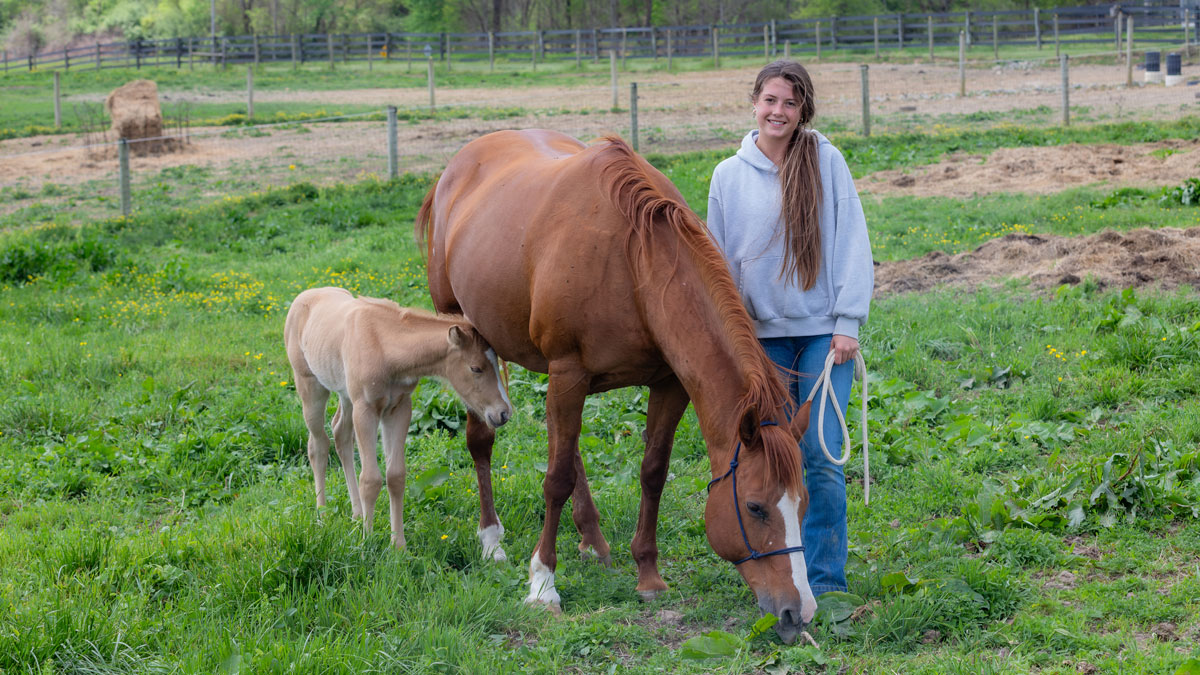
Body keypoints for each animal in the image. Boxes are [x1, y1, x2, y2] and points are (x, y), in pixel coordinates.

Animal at [284, 286, 513, 555]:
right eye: (475, 368)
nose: (503, 413)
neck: (384, 345)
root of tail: (306, 294)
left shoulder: (400, 408)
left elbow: (395, 476)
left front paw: (398, 545)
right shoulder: (366, 409)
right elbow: (370, 479)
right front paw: (367, 542)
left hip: (346, 395)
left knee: (340, 434)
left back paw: (356, 514)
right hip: (310, 386)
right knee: (318, 445)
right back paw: (322, 515)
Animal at [415, 129, 818, 643]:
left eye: (803, 505)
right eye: (755, 507)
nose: (798, 612)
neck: (634, 261)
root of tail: (455, 168)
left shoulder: (667, 383)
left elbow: (651, 471)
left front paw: (648, 575)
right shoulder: (569, 371)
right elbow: (556, 480)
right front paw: (542, 583)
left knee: (566, 446)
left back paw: (593, 539)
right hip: (470, 338)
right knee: (484, 441)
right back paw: (492, 540)